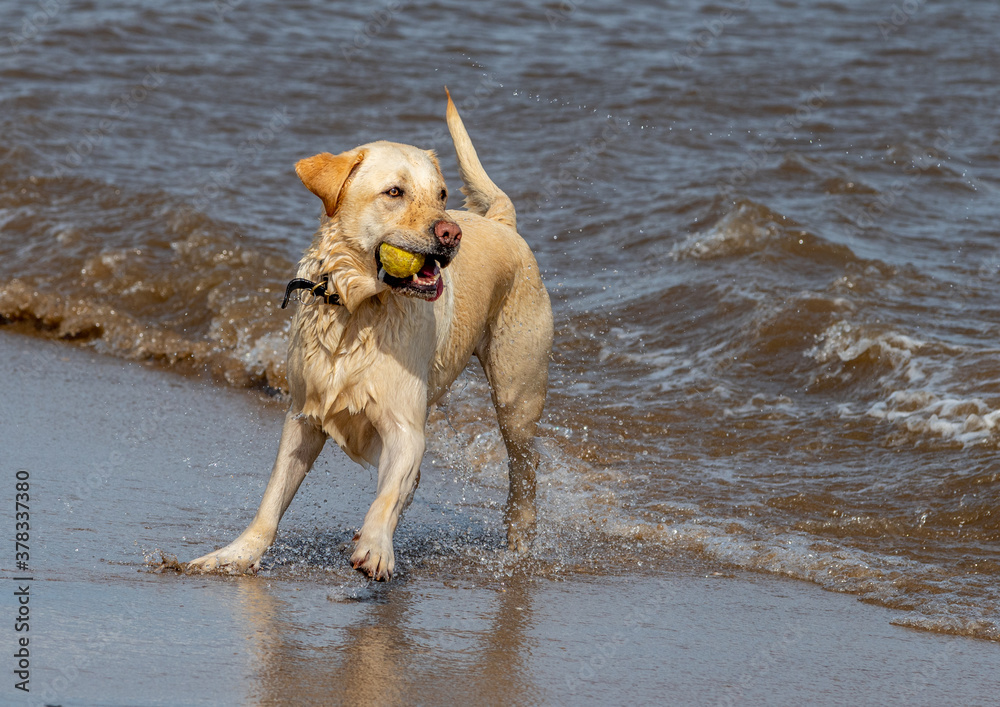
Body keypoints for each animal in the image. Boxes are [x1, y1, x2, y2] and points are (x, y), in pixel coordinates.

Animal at [188, 92, 556, 580]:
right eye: (394, 192)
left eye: (441, 194)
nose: (450, 232)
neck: (358, 309)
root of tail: (501, 222)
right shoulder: (302, 415)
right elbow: (271, 500)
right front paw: (235, 553)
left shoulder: (404, 425)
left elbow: (387, 493)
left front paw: (376, 547)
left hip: (518, 393)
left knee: (524, 466)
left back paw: (519, 539)